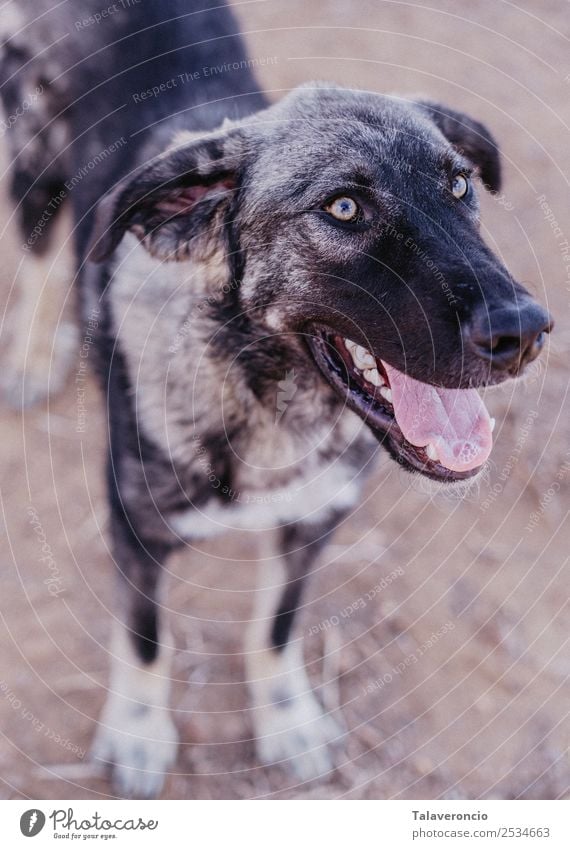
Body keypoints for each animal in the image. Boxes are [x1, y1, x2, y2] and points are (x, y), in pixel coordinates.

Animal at [0, 0, 552, 796]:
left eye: (460, 188)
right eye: (344, 207)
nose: (526, 332)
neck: (266, 399)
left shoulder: (314, 522)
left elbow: (276, 626)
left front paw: (287, 720)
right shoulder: (135, 532)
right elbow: (146, 641)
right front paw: (137, 732)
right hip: (32, 158)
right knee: (43, 252)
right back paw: (33, 353)